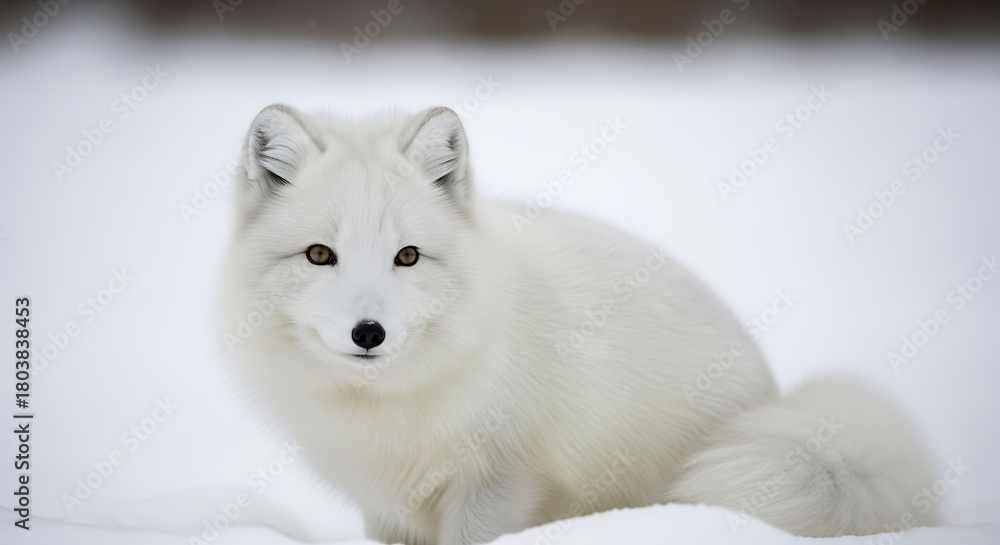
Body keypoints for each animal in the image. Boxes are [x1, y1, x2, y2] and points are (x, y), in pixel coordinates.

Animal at [221, 104, 937, 545]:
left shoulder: (500, 483)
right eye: (321, 255)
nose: (368, 333)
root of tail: (775, 397)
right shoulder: (388, 506)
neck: (390, 410)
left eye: (408, 256)